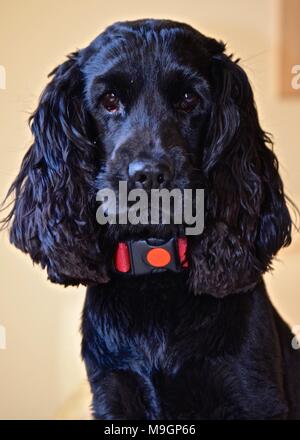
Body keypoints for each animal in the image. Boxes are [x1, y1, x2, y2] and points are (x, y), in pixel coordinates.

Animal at [2, 19, 300, 420]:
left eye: (189, 99)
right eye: (110, 100)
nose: (149, 175)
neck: (156, 266)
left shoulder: (253, 396)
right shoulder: (113, 392)